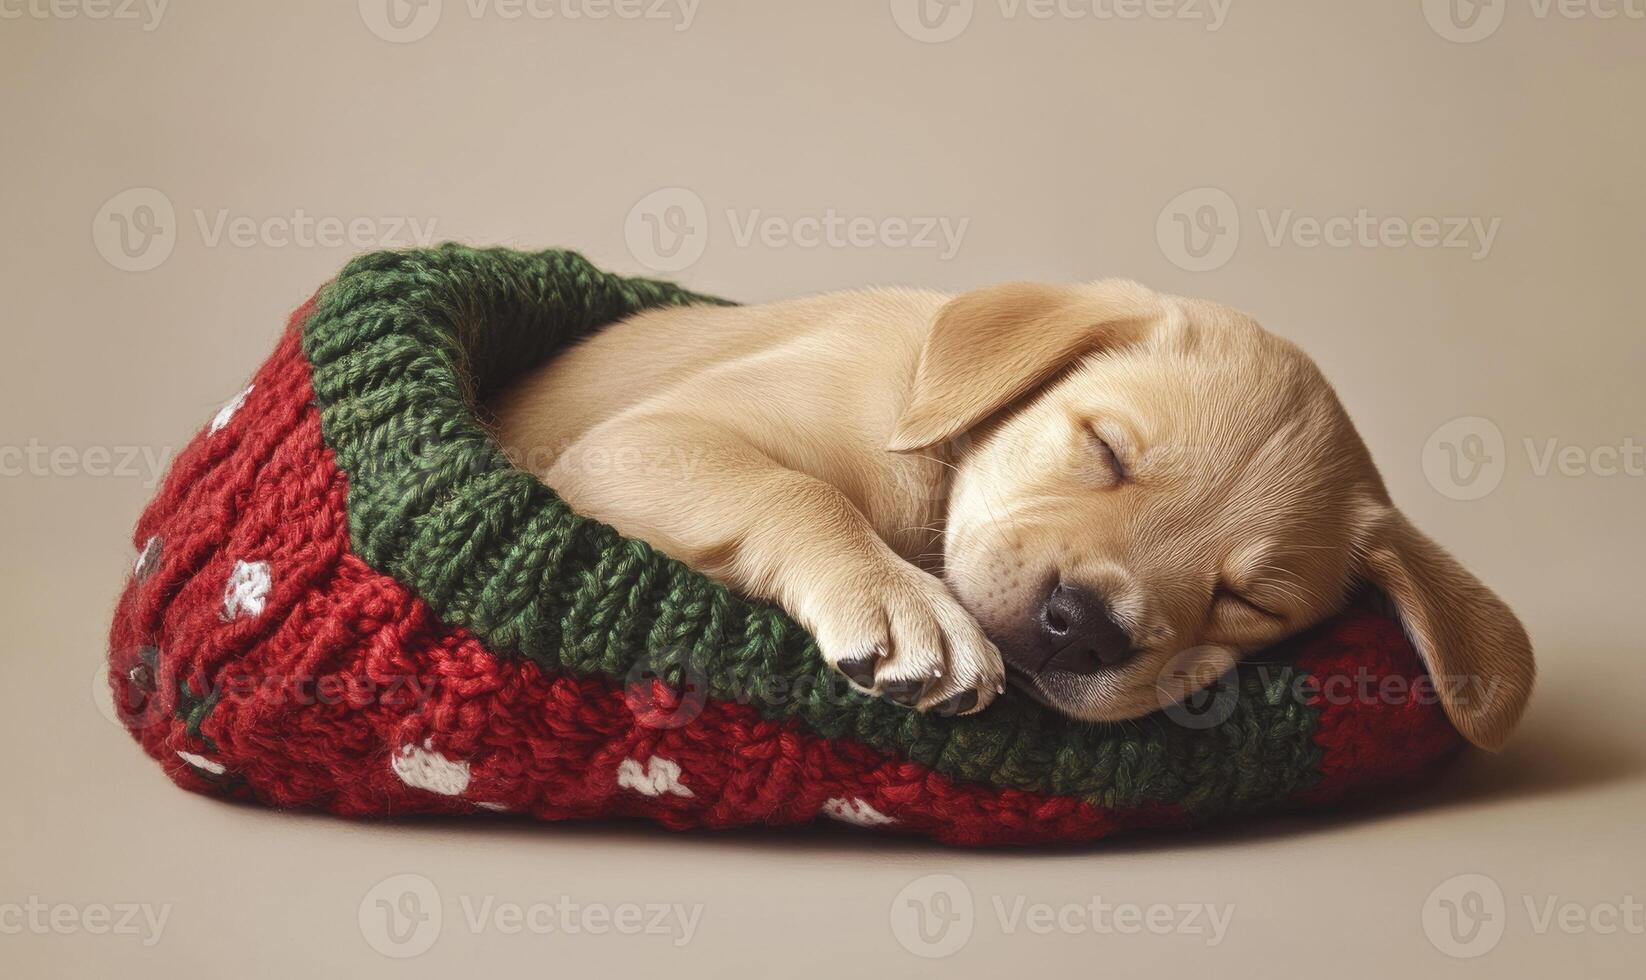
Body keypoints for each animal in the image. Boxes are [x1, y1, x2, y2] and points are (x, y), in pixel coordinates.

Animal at [483, 281, 1527, 751]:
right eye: (1106, 450)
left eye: (1250, 602)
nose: (1082, 629)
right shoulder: (645, 441)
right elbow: (801, 490)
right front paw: (906, 606)